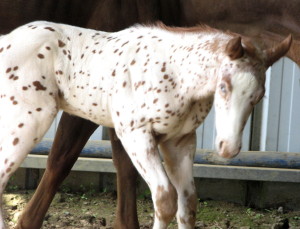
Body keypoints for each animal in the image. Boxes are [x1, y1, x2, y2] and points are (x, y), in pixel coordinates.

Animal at [1, 0, 298, 229]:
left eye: (259, 96)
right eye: (223, 87)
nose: (228, 148)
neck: (175, 72)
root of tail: (6, 42)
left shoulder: (179, 142)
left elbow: (187, 205)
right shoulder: (135, 134)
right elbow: (164, 199)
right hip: (28, 120)